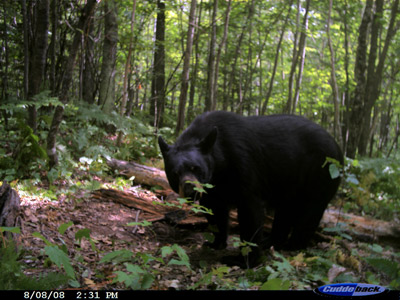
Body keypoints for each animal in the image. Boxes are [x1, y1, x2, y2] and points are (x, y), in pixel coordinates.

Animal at [158, 110, 342, 268]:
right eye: (175, 173)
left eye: (196, 168)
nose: (189, 188)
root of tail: (337, 146)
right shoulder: (213, 188)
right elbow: (215, 212)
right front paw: (215, 243)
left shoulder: (243, 165)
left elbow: (250, 214)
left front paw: (242, 259)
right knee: (285, 210)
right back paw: (272, 242)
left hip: (321, 173)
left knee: (310, 212)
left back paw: (293, 245)